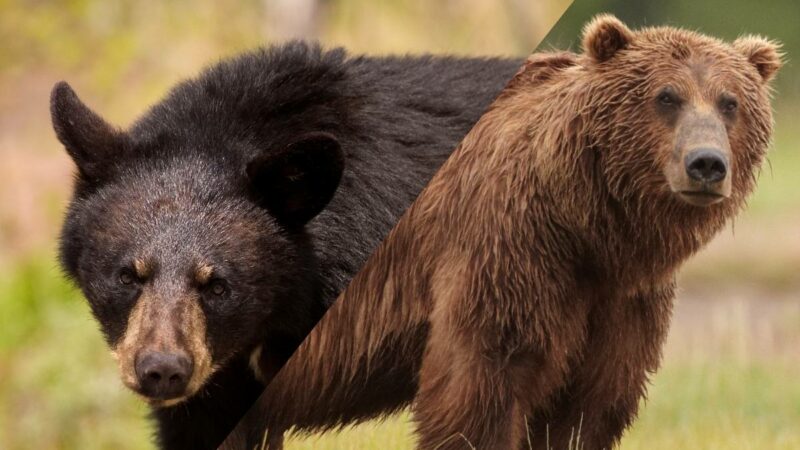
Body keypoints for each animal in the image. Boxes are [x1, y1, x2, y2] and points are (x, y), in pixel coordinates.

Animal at [222, 14, 784, 450]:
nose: (706, 164)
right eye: (666, 97)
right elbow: (485, 382)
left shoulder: (620, 299)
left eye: (730, 102)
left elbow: (589, 405)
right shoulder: (508, 247)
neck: (589, 226)